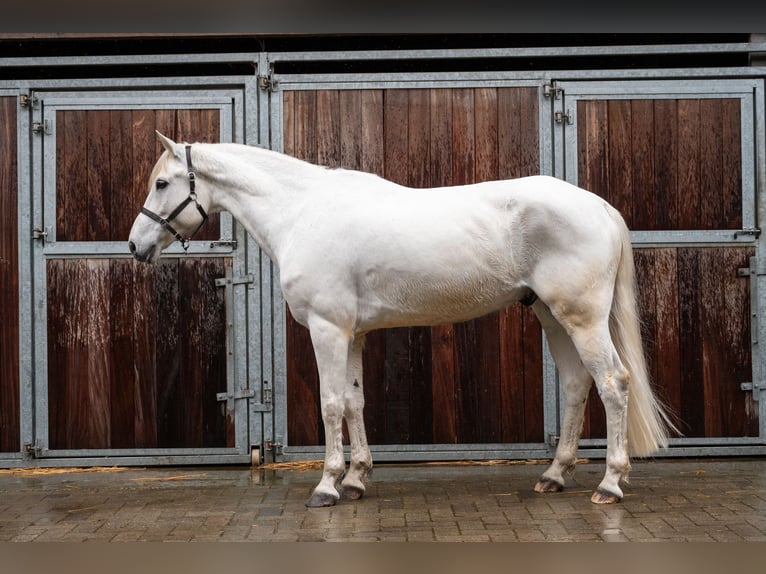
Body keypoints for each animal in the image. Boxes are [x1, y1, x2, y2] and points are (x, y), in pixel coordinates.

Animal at [128, 132, 677, 507]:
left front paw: (326, 486)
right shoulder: (352, 333)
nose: (135, 246)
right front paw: (355, 479)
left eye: (161, 183)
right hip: (551, 315)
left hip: (581, 318)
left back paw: (610, 483)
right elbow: (354, 402)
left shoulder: (328, 329)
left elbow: (331, 404)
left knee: (613, 383)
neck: (302, 212)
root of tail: (600, 206)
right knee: (576, 384)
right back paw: (554, 475)